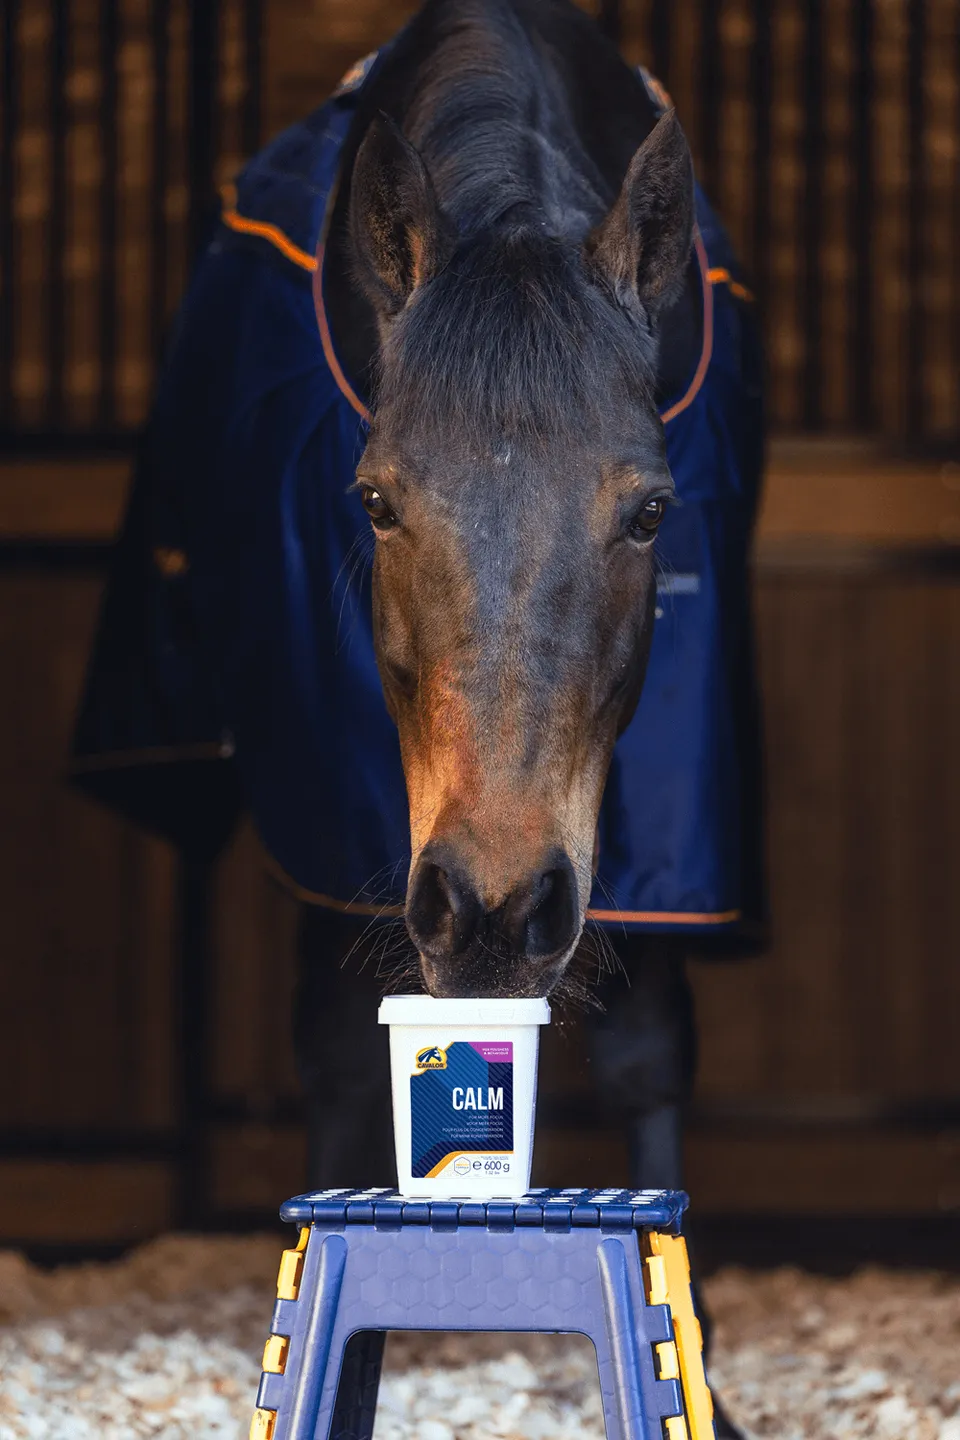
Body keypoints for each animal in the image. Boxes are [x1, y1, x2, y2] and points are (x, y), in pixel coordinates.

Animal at [73, 3, 763, 1426]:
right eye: (377, 502)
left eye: (651, 513)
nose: (493, 911)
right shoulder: (322, 762)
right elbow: (343, 1044)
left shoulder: (677, 783)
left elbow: (650, 1044)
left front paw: (702, 1357)